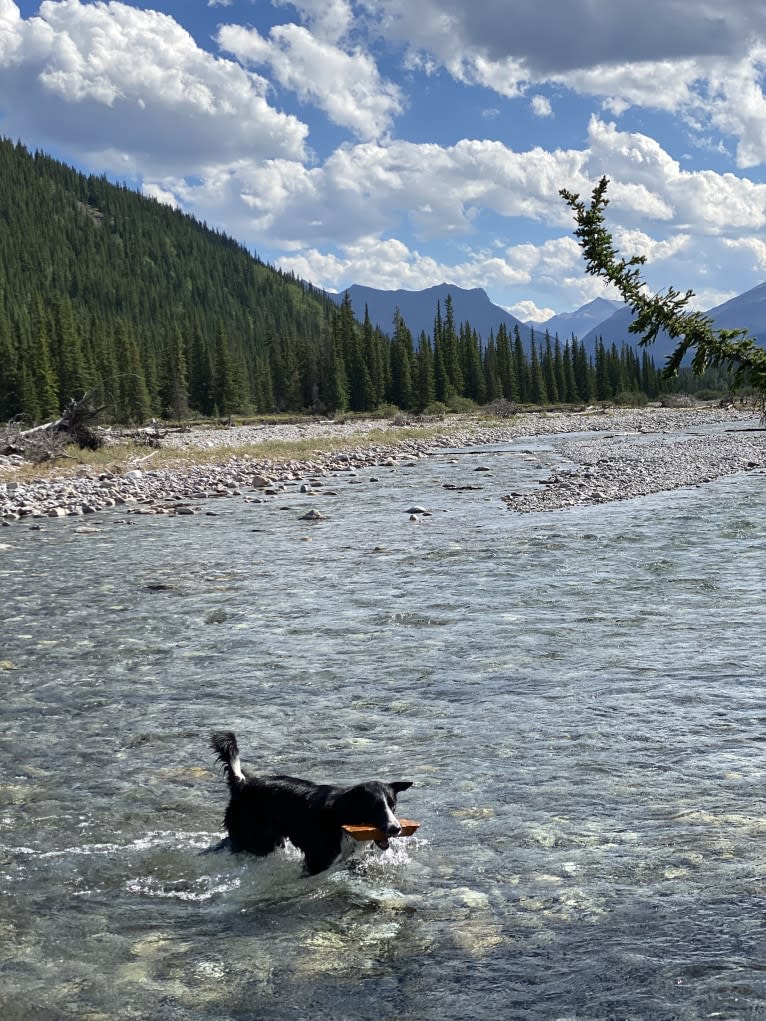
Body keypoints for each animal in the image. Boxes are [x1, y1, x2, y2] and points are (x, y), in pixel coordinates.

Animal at [210, 731, 414, 873]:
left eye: (393, 806)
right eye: (374, 807)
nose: (396, 829)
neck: (344, 816)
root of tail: (242, 784)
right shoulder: (317, 860)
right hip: (257, 838)